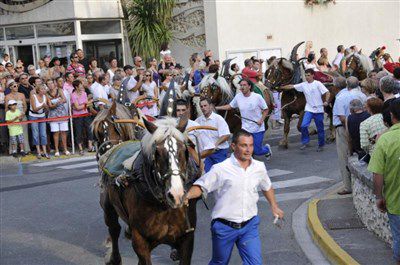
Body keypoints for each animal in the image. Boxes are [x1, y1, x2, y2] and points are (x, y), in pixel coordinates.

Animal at [99, 116, 198, 262]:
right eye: (157, 152)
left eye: (184, 150)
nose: (176, 195)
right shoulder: (140, 241)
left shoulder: (187, 239)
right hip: (108, 208)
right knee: (114, 229)